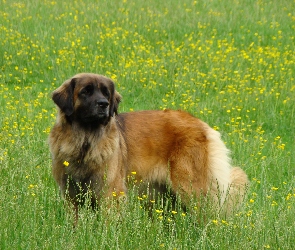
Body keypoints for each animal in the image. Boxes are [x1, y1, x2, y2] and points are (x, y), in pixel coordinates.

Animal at [49, 73, 250, 223]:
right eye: (85, 92)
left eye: (106, 94)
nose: (103, 104)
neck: (86, 141)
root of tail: (201, 124)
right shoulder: (70, 195)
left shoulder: (110, 191)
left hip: (191, 189)